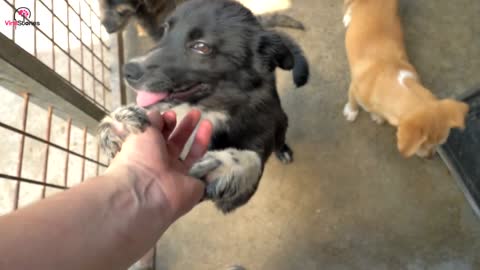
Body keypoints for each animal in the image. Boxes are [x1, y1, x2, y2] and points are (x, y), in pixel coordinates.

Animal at [97, 0, 310, 213]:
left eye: (201, 47)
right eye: (165, 29)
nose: (127, 71)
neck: (212, 109)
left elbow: (251, 159)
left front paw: (225, 166)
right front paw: (119, 121)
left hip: (281, 120)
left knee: (280, 137)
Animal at [342, 0, 468, 158]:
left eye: (440, 144)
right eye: (423, 145)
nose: (431, 157)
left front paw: (377, 116)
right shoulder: (353, 88)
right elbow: (352, 101)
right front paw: (351, 111)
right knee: (348, 4)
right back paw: (348, 17)